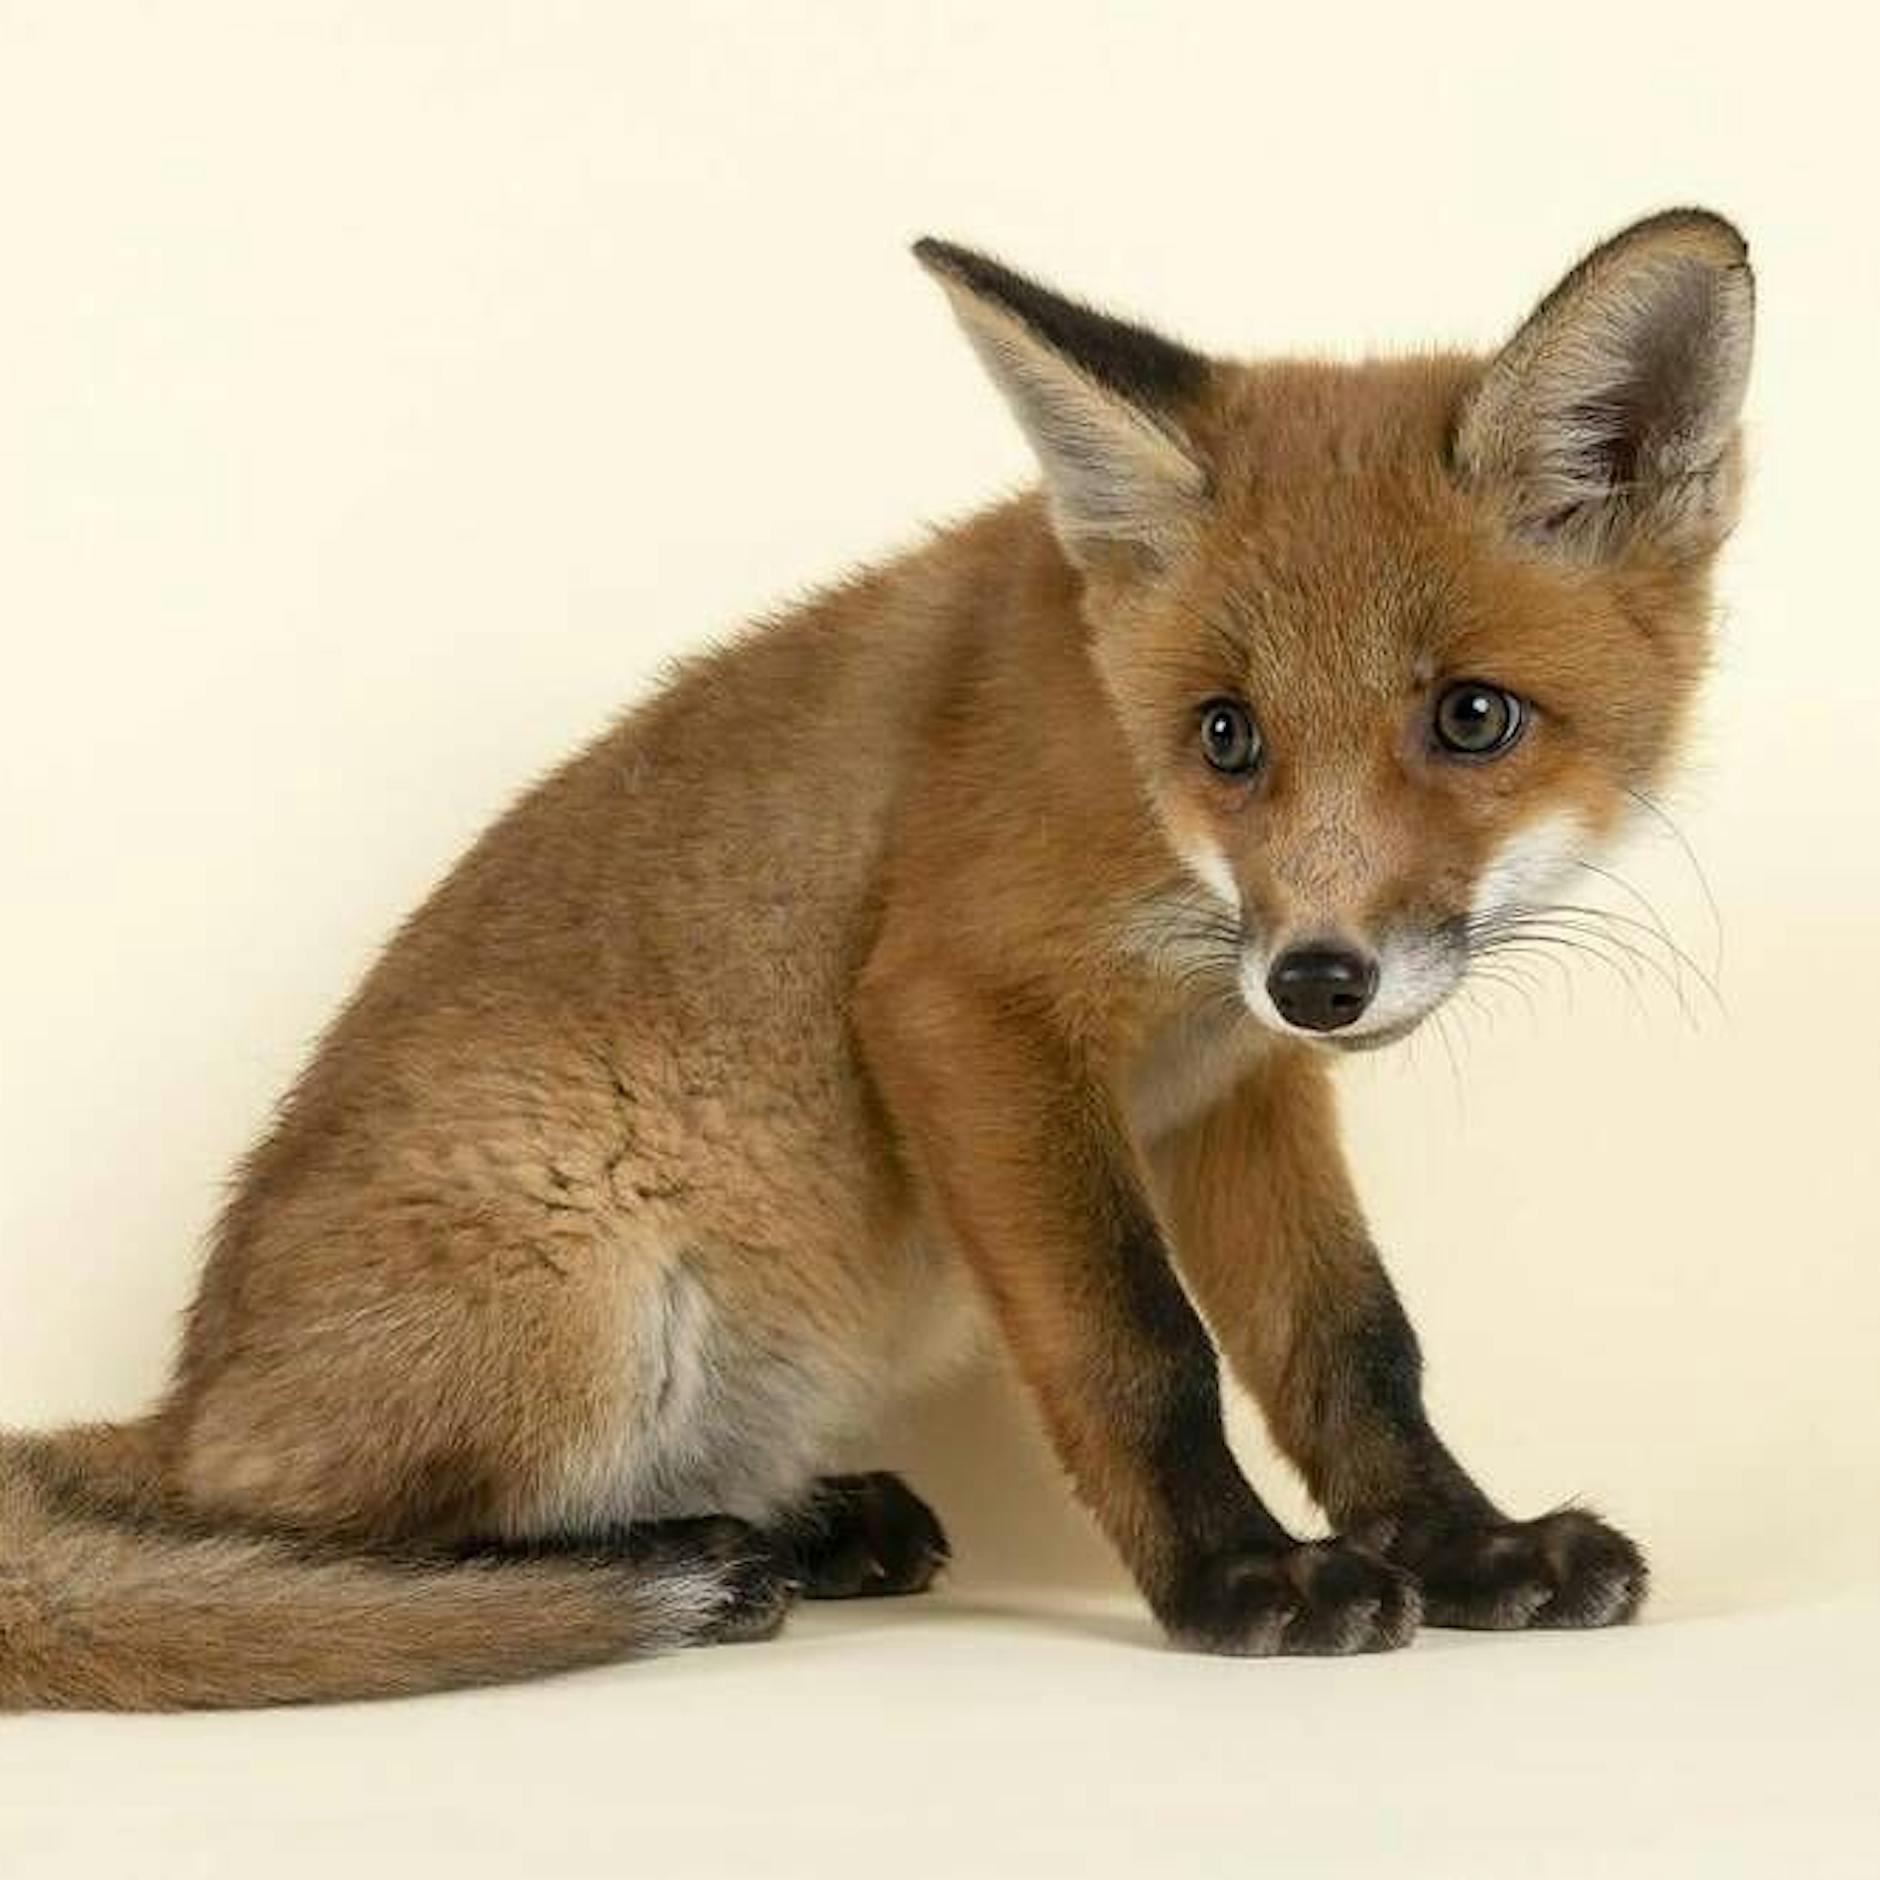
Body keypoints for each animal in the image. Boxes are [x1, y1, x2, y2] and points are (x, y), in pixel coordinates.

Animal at [0, 209, 1753, 1708]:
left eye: (1474, 717)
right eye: (1226, 736)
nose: (1320, 980)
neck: (1140, 805)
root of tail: (186, 1402)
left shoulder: (1233, 1084)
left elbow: (1351, 1345)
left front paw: (1468, 1548)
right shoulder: (961, 1005)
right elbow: (1142, 1346)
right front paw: (1240, 1582)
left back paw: (802, 1524)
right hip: (585, 1298)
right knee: (305, 1545)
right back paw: (680, 1562)